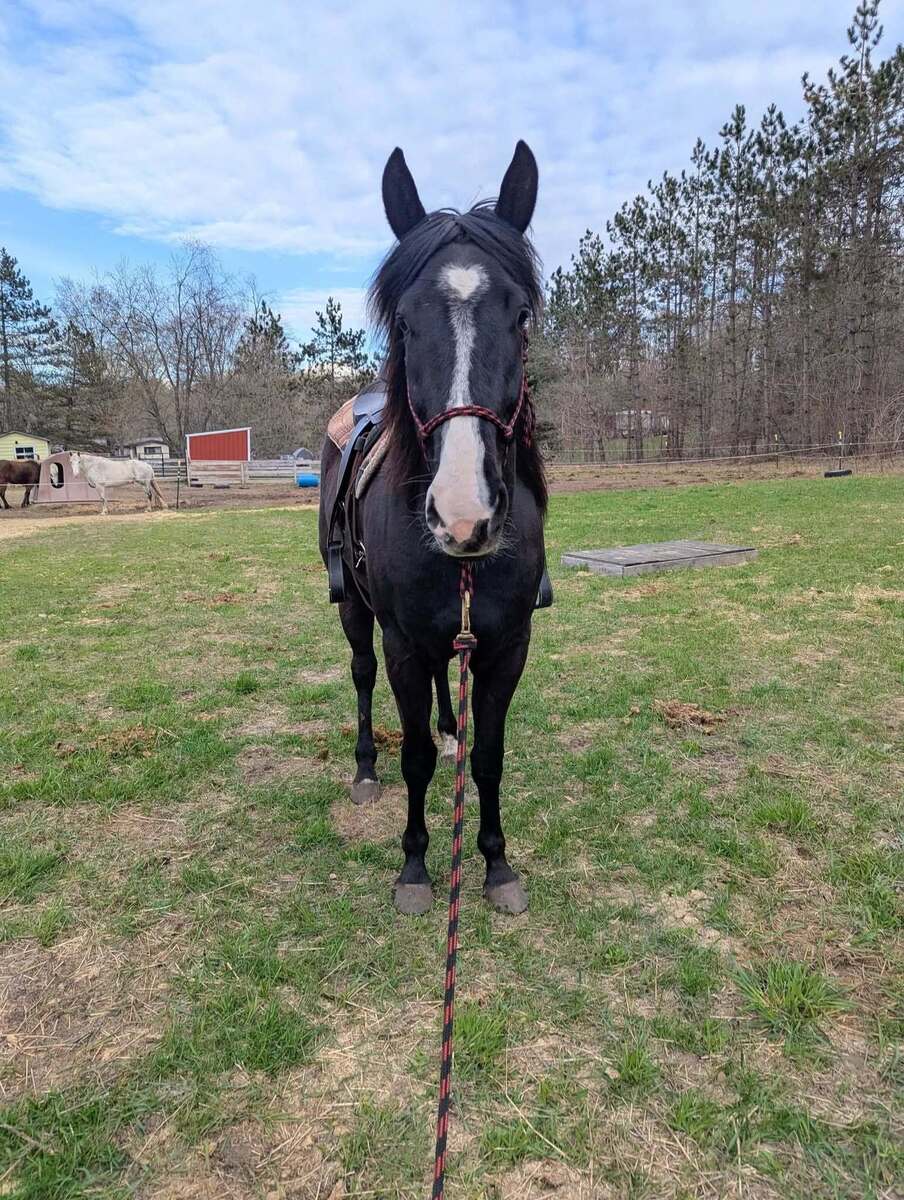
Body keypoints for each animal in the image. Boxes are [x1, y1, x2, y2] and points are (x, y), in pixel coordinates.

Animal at [319, 141, 547, 917]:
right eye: (405, 323)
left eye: (521, 317)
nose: (463, 513)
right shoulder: (401, 645)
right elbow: (414, 756)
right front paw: (415, 867)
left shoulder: (508, 644)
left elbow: (490, 755)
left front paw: (497, 864)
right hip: (356, 612)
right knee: (360, 677)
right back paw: (364, 769)